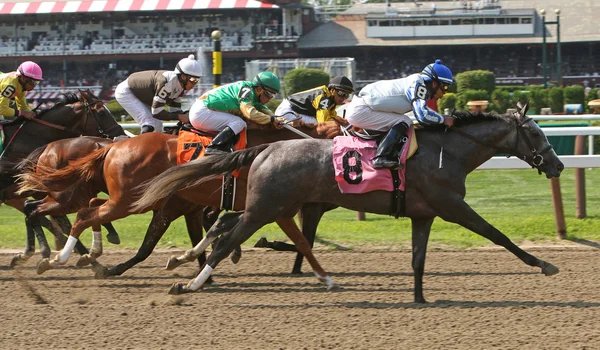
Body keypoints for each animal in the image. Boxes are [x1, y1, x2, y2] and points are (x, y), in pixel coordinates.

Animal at [18, 121, 342, 280]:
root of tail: (112, 148)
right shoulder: (176, 208)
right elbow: (148, 247)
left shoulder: (192, 208)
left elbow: (204, 237)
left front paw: (196, 268)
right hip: (125, 200)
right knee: (79, 214)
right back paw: (59, 257)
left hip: (119, 199)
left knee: (79, 209)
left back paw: (78, 254)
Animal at [134, 102, 564, 302]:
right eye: (536, 134)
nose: (558, 164)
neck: (447, 151)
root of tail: (267, 148)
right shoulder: (453, 207)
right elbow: (497, 235)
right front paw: (544, 264)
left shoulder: (423, 214)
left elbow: (418, 259)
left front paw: (420, 298)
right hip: (267, 208)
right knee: (227, 239)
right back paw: (191, 284)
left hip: (270, 205)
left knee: (225, 225)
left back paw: (186, 263)